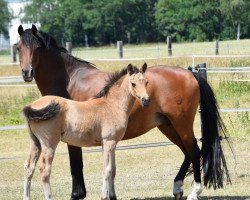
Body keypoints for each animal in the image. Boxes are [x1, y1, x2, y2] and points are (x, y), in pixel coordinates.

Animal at [22, 63, 149, 199]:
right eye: (133, 83)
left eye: (146, 82)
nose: (146, 100)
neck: (111, 105)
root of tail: (32, 106)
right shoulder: (108, 142)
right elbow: (107, 170)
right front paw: (104, 196)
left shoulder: (111, 144)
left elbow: (113, 170)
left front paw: (112, 196)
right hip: (49, 144)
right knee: (45, 170)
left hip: (35, 142)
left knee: (29, 168)